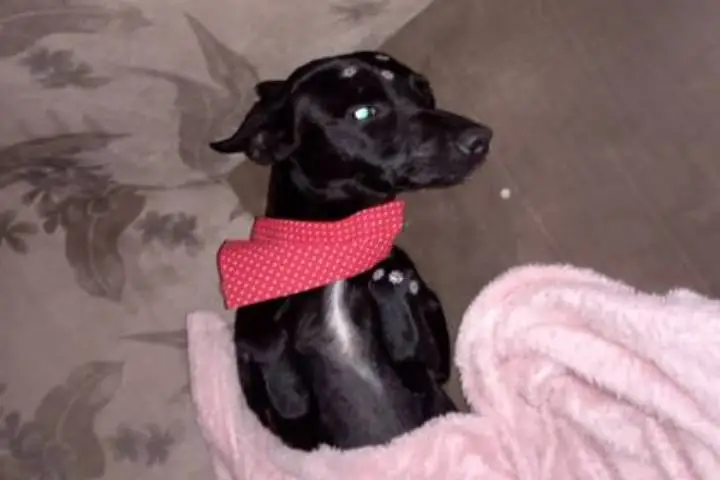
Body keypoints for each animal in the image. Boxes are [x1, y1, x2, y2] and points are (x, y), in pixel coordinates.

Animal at [210, 51, 492, 451]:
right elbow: (274, 365)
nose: (481, 138)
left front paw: (394, 294)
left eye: (424, 92)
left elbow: (415, 355)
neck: (337, 252)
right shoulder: (290, 433)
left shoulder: (432, 373)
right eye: (363, 112)